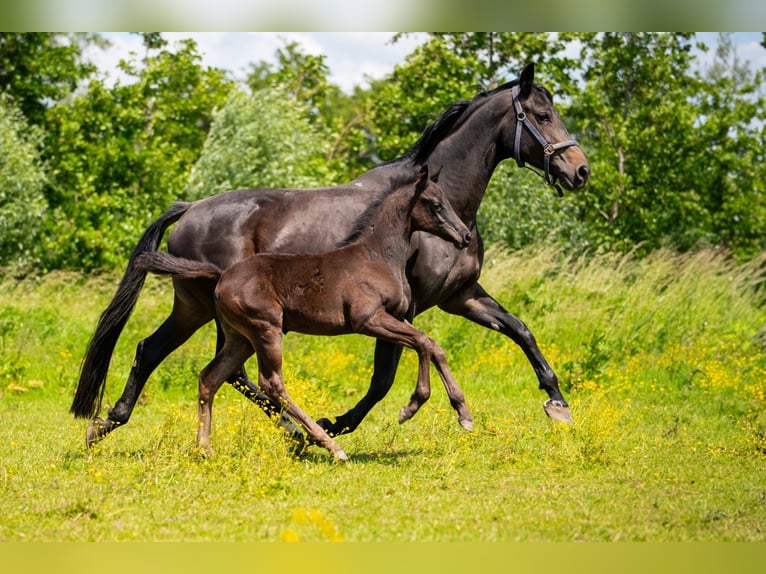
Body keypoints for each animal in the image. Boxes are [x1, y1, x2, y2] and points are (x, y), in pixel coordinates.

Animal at [139, 164, 474, 462]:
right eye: (435, 204)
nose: (465, 236)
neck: (376, 256)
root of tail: (221, 277)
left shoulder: (397, 316)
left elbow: (432, 344)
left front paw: (463, 413)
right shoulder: (368, 320)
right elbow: (421, 342)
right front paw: (411, 407)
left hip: (241, 338)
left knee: (210, 378)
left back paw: (205, 449)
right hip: (266, 329)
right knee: (272, 383)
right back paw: (328, 445)